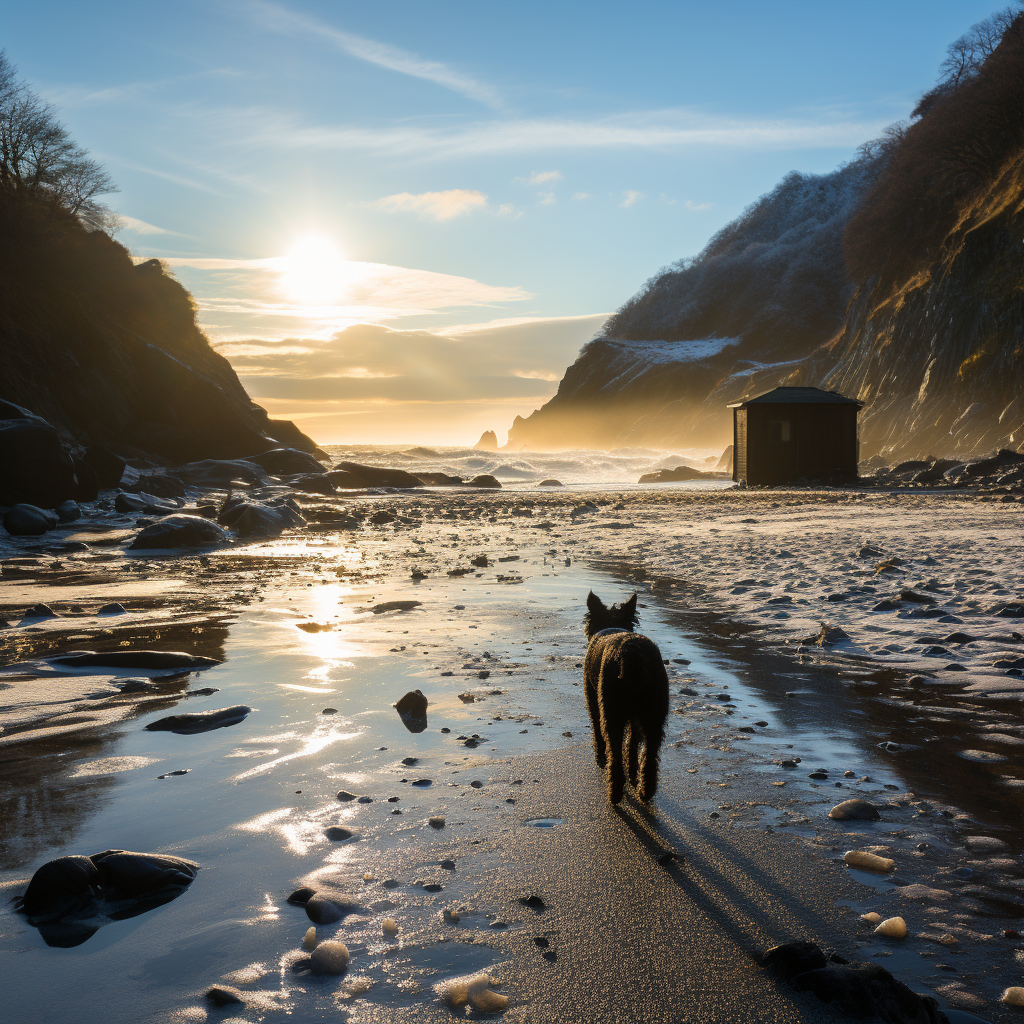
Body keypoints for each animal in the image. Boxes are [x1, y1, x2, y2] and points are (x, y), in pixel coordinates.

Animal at [585, 593, 671, 806]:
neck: (612, 624)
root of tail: (632, 654)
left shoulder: (592, 698)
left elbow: (597, 730)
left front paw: (600, 757)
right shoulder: (636, 717)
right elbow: (633, 742)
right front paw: (632, 772)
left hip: (611, 711)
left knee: (614, 752)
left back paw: (615, 794)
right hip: (654, 715)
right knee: (650, 756)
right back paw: (646, 791)